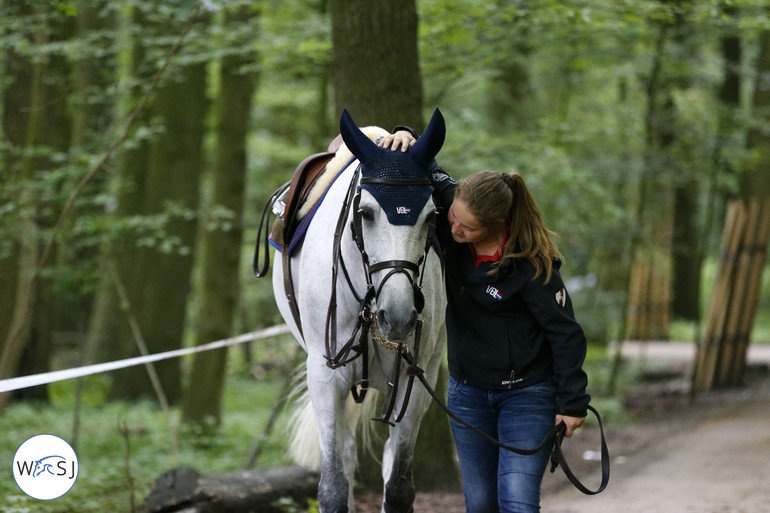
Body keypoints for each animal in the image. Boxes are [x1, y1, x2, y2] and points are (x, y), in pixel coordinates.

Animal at [272, 108, 448, 512]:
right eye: (365, 213)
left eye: (432, 216)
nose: (397, 315)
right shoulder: (325, 377)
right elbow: (333, 488)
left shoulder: (414, 381)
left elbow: (398, 486)